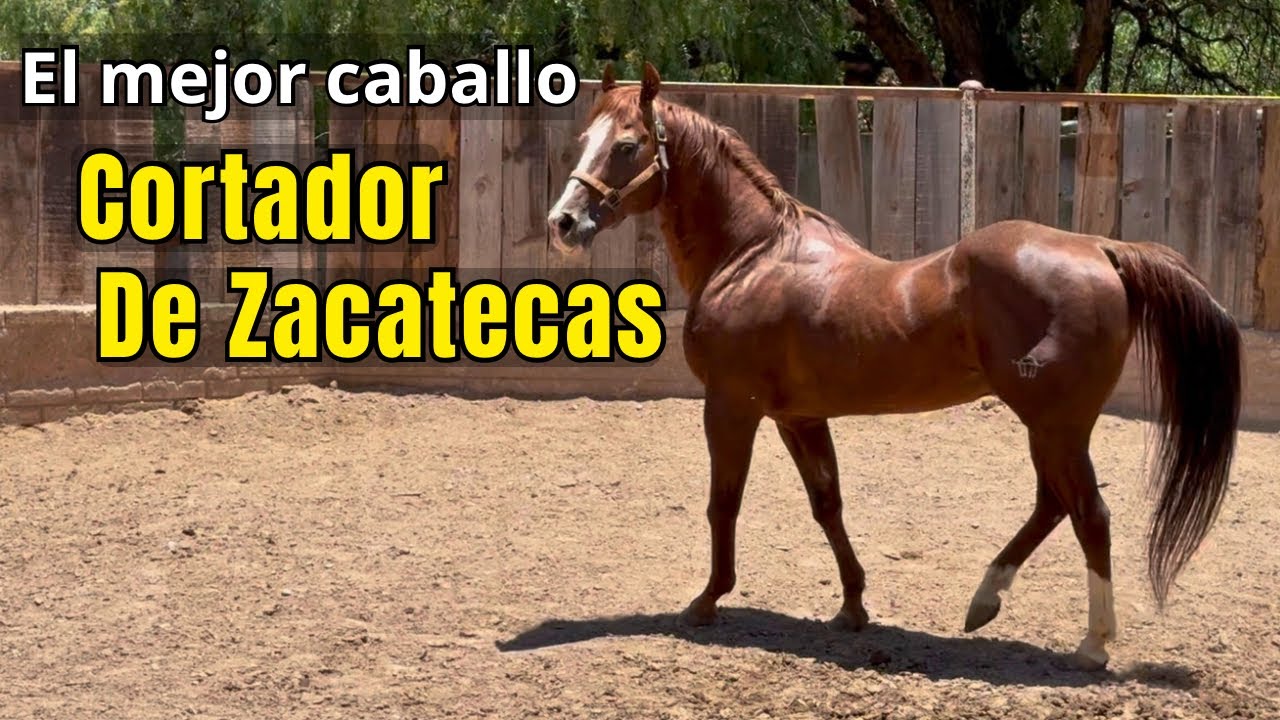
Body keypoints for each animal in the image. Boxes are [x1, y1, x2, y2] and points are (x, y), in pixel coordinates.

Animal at [545, 62, 1242, 670]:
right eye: (584, 139)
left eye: (628, 145)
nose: (564, 222)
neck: (752, 256)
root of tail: (1101, 249)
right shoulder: (798, 417)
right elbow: (828, 504)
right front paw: (853, 606)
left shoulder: (731, 408)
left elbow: (724, 503)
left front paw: (707, 599)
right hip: (1053, 427)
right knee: (1054, 504)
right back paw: (984, 601)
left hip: (1055, 425)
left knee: (1090, 515)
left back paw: (1093, 644)